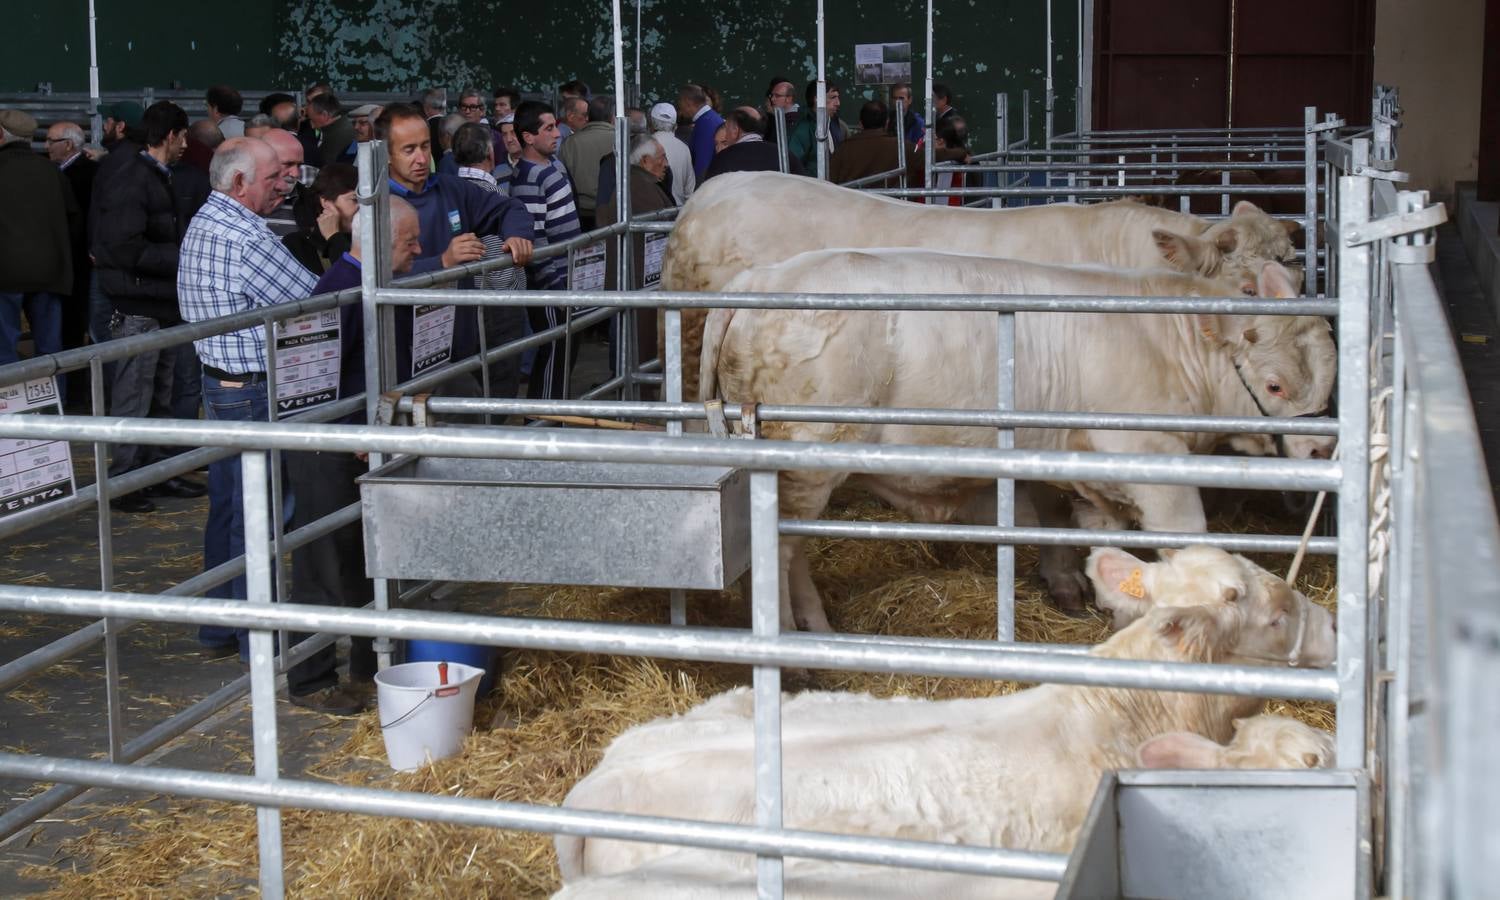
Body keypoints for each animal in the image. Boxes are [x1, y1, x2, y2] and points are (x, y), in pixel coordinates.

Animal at [696, 249, 1332, 630]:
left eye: (1329, 378)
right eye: (1274, 384)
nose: (1322, 451)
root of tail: (761, 278)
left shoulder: (1094, 475)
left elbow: (1105, 550)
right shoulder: (1155, 467)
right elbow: (1188, 545)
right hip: (803, 459)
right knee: (781, 549)